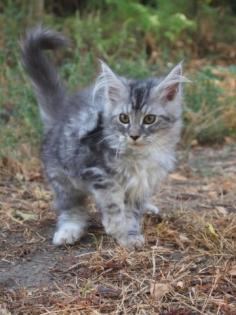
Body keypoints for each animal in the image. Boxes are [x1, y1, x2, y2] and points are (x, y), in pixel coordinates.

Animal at [21, 27, 189, 249]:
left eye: (149, 119)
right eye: (124, 118)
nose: (134, 135)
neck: (137, 157)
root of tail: (61, 114)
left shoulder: (141, 184)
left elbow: (132, 212)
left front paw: (130, 234)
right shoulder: (97, 172)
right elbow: (113, 205)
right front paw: (118, 229)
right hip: (63, 178)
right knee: (71, 208)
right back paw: (69, 231)